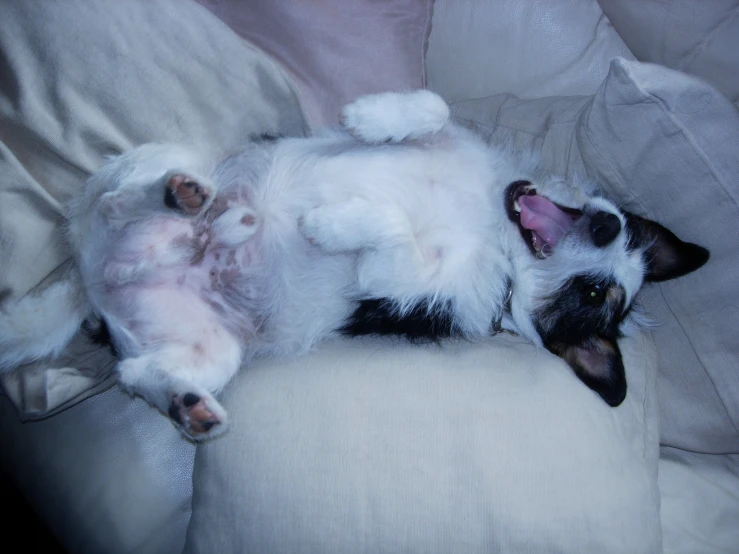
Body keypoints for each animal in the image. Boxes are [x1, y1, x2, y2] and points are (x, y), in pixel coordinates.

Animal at [0, 91, 712, 440]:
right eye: (627, 228)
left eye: (594, 295)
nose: (607, 223)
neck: (492, 225)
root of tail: (95, 283)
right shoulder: (449, 139)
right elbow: (435, 107)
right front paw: (373, 117)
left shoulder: (402, 286)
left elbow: (388, 235)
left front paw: (330, 223)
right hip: (158, 162)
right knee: (119, 201)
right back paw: (187, 206)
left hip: (211, 350)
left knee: (139, 368)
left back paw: (189, 407)